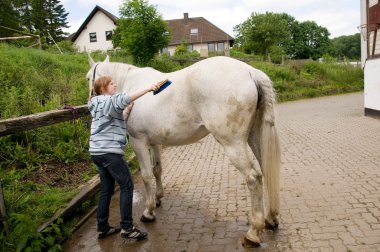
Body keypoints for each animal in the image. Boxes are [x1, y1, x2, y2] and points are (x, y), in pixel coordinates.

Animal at [87, 55, 280, 246]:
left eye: (89, 77)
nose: (90, 103)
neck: (130, 85)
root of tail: (250, 72)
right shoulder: (155, 143)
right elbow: (157, 170)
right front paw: (158, 198)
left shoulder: (138, 142)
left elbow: (147, 176)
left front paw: (148, 212)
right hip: (253, 136)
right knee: (265, 170)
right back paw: (270, 219)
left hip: (233, 143)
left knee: (253, 178)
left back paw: (253, 233)